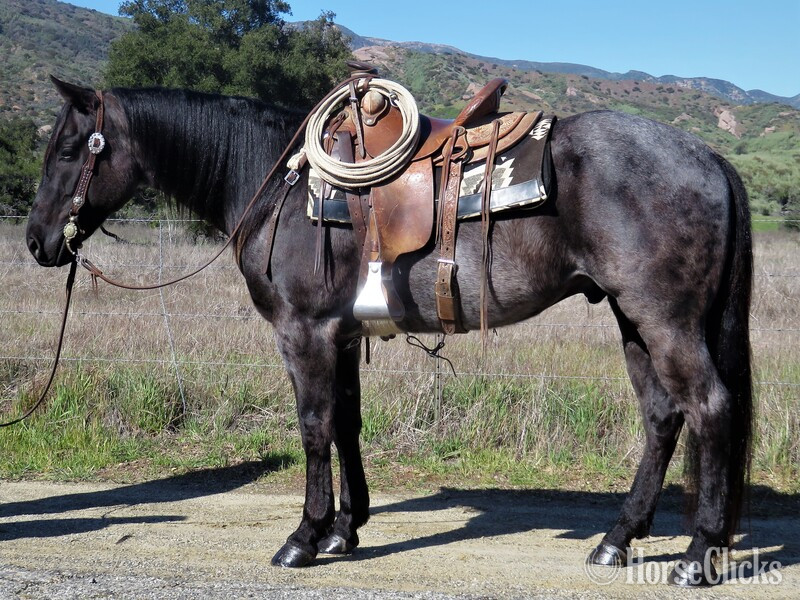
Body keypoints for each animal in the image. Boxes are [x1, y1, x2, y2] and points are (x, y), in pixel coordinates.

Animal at [26, 77, 752, 587]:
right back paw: (617, 539)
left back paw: (697, 554)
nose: (36, 241)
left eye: (67, 148)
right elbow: (346, 424)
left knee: (709, 407)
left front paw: (303, 537)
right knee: (662, 416)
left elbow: (313, 428)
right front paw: (345, 530)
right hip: (633, 319)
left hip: (664, 319)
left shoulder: (304, 333)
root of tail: (708, 155)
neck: (277, 186)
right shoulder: (342, 335)